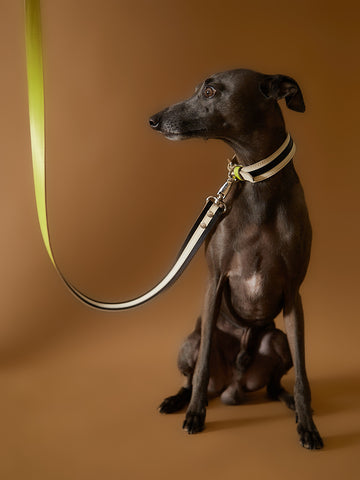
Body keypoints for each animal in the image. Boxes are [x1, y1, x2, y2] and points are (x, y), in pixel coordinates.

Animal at [149, 68, 324, 450]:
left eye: (211, 92)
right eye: (199, 90)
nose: (152, 120)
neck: (259, 188)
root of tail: (233, 385)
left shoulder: (293, 293)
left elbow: (303, 375)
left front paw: (307, 425)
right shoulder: (216, 281)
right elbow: (201, 370)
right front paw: (195, 414)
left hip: (276, 341)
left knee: (275, 384)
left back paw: (288, 402)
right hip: (191, 341)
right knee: (192, 374)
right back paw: (178, 400)